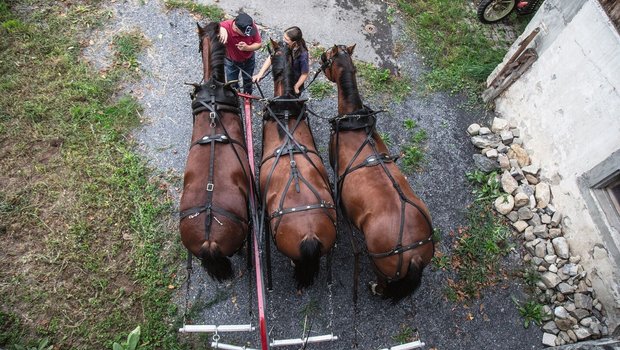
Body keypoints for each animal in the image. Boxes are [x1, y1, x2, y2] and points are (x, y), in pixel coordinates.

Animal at [322, 43, 434, 300]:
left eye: (328, 57)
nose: (321, 59)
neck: (354, 122)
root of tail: (413, 254)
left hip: (381, 267)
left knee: (383, 284)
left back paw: (375, 288)